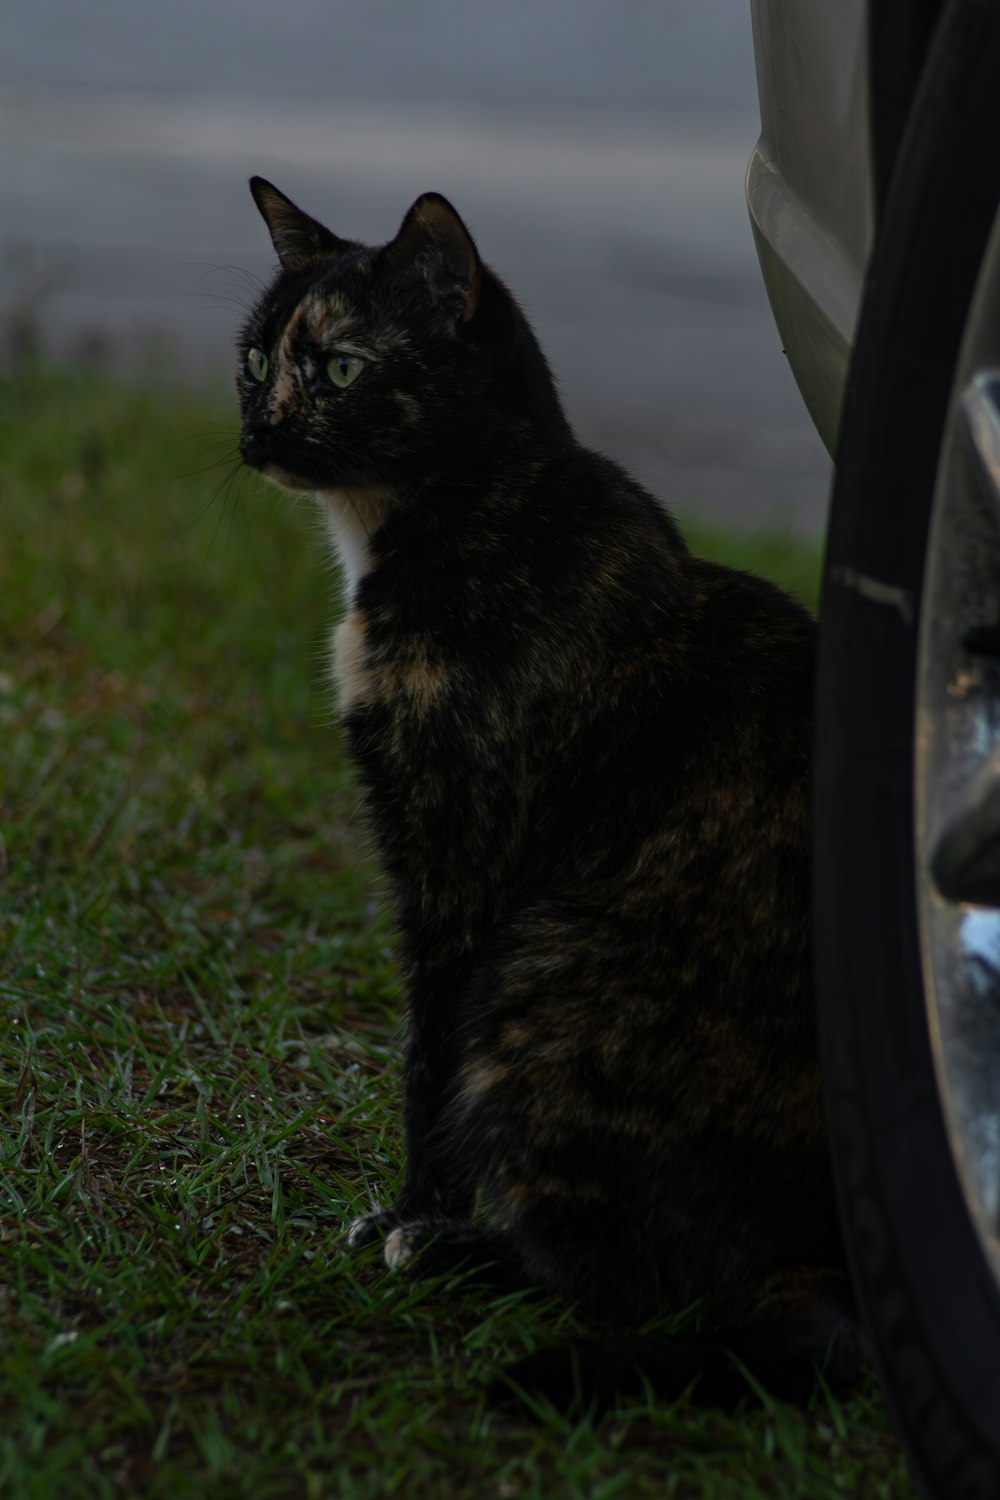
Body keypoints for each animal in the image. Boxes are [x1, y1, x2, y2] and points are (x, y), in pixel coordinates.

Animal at [236, 178, 869, 1416]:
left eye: (337, 367)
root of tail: (840, 1274)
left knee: (642, 1284)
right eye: (252, 357)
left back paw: (460, 1256)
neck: (462, 517)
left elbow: (423, 1064)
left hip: (536, 984)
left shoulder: (459, 870)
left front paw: (415, 1212)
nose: (258, 431)